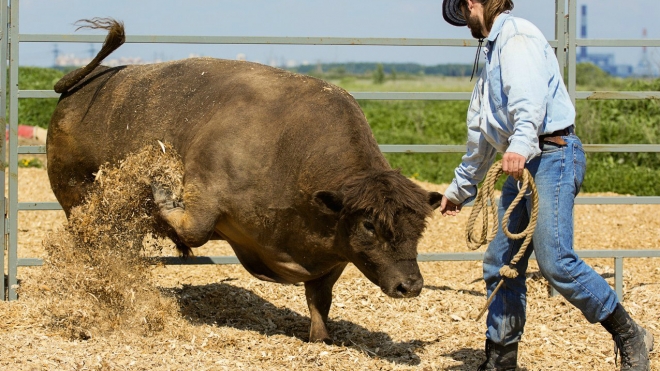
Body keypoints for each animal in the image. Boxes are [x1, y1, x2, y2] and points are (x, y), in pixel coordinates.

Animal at [47, 18, 444, 342]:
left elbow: (320, 299)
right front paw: (161, 189)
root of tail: (86, 81)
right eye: (369, 225)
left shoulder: (333, 258)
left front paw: (321, 338)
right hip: (76, 195)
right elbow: (193, 229)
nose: (410, 285)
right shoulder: (206, 194)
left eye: (419, 228)